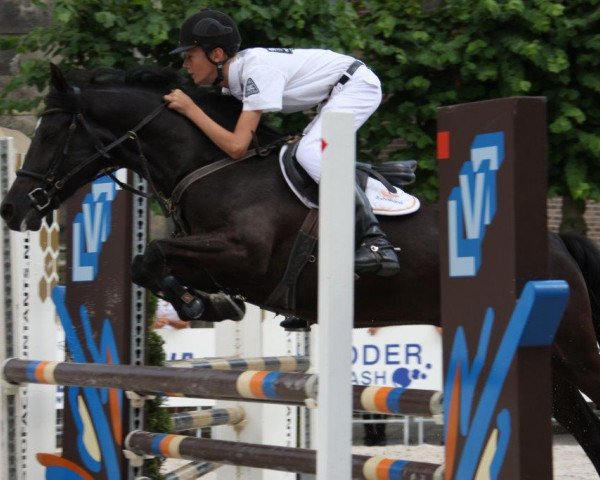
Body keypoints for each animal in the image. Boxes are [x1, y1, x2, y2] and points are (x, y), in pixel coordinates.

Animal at [3, 63, 600, 472]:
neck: (214, 164)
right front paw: (202, 302)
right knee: (584, 424)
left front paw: (195, 301)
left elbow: (150, 257)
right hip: (552, 369)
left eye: (51, 132)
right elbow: (148, 266)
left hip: (571, 345)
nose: (12, 209)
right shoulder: (221, 260)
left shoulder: (242, 255)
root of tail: (558, 243)